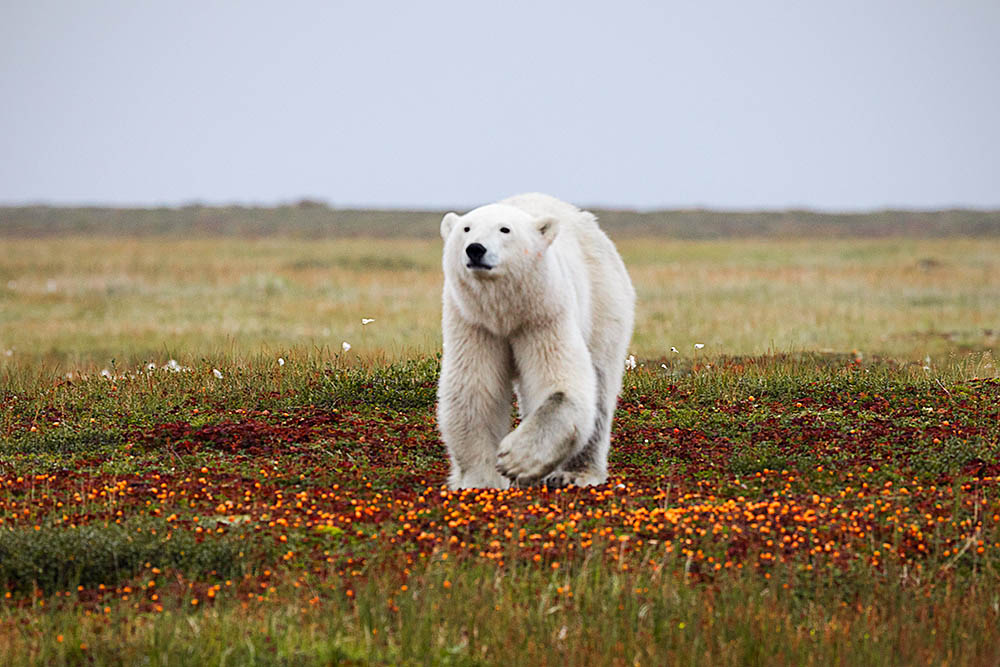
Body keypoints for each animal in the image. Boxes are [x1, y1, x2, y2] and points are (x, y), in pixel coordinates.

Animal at [436, 193, 632, 490]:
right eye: (466, 228)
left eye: (505, 229)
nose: (475, 249)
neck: (505, 313)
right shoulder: (473, 322)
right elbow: (474, 392)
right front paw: (481, 481)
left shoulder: (544, 315)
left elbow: (560, 385)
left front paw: (516, 460)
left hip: (604, 303)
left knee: (599, 387)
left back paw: (574, 473)